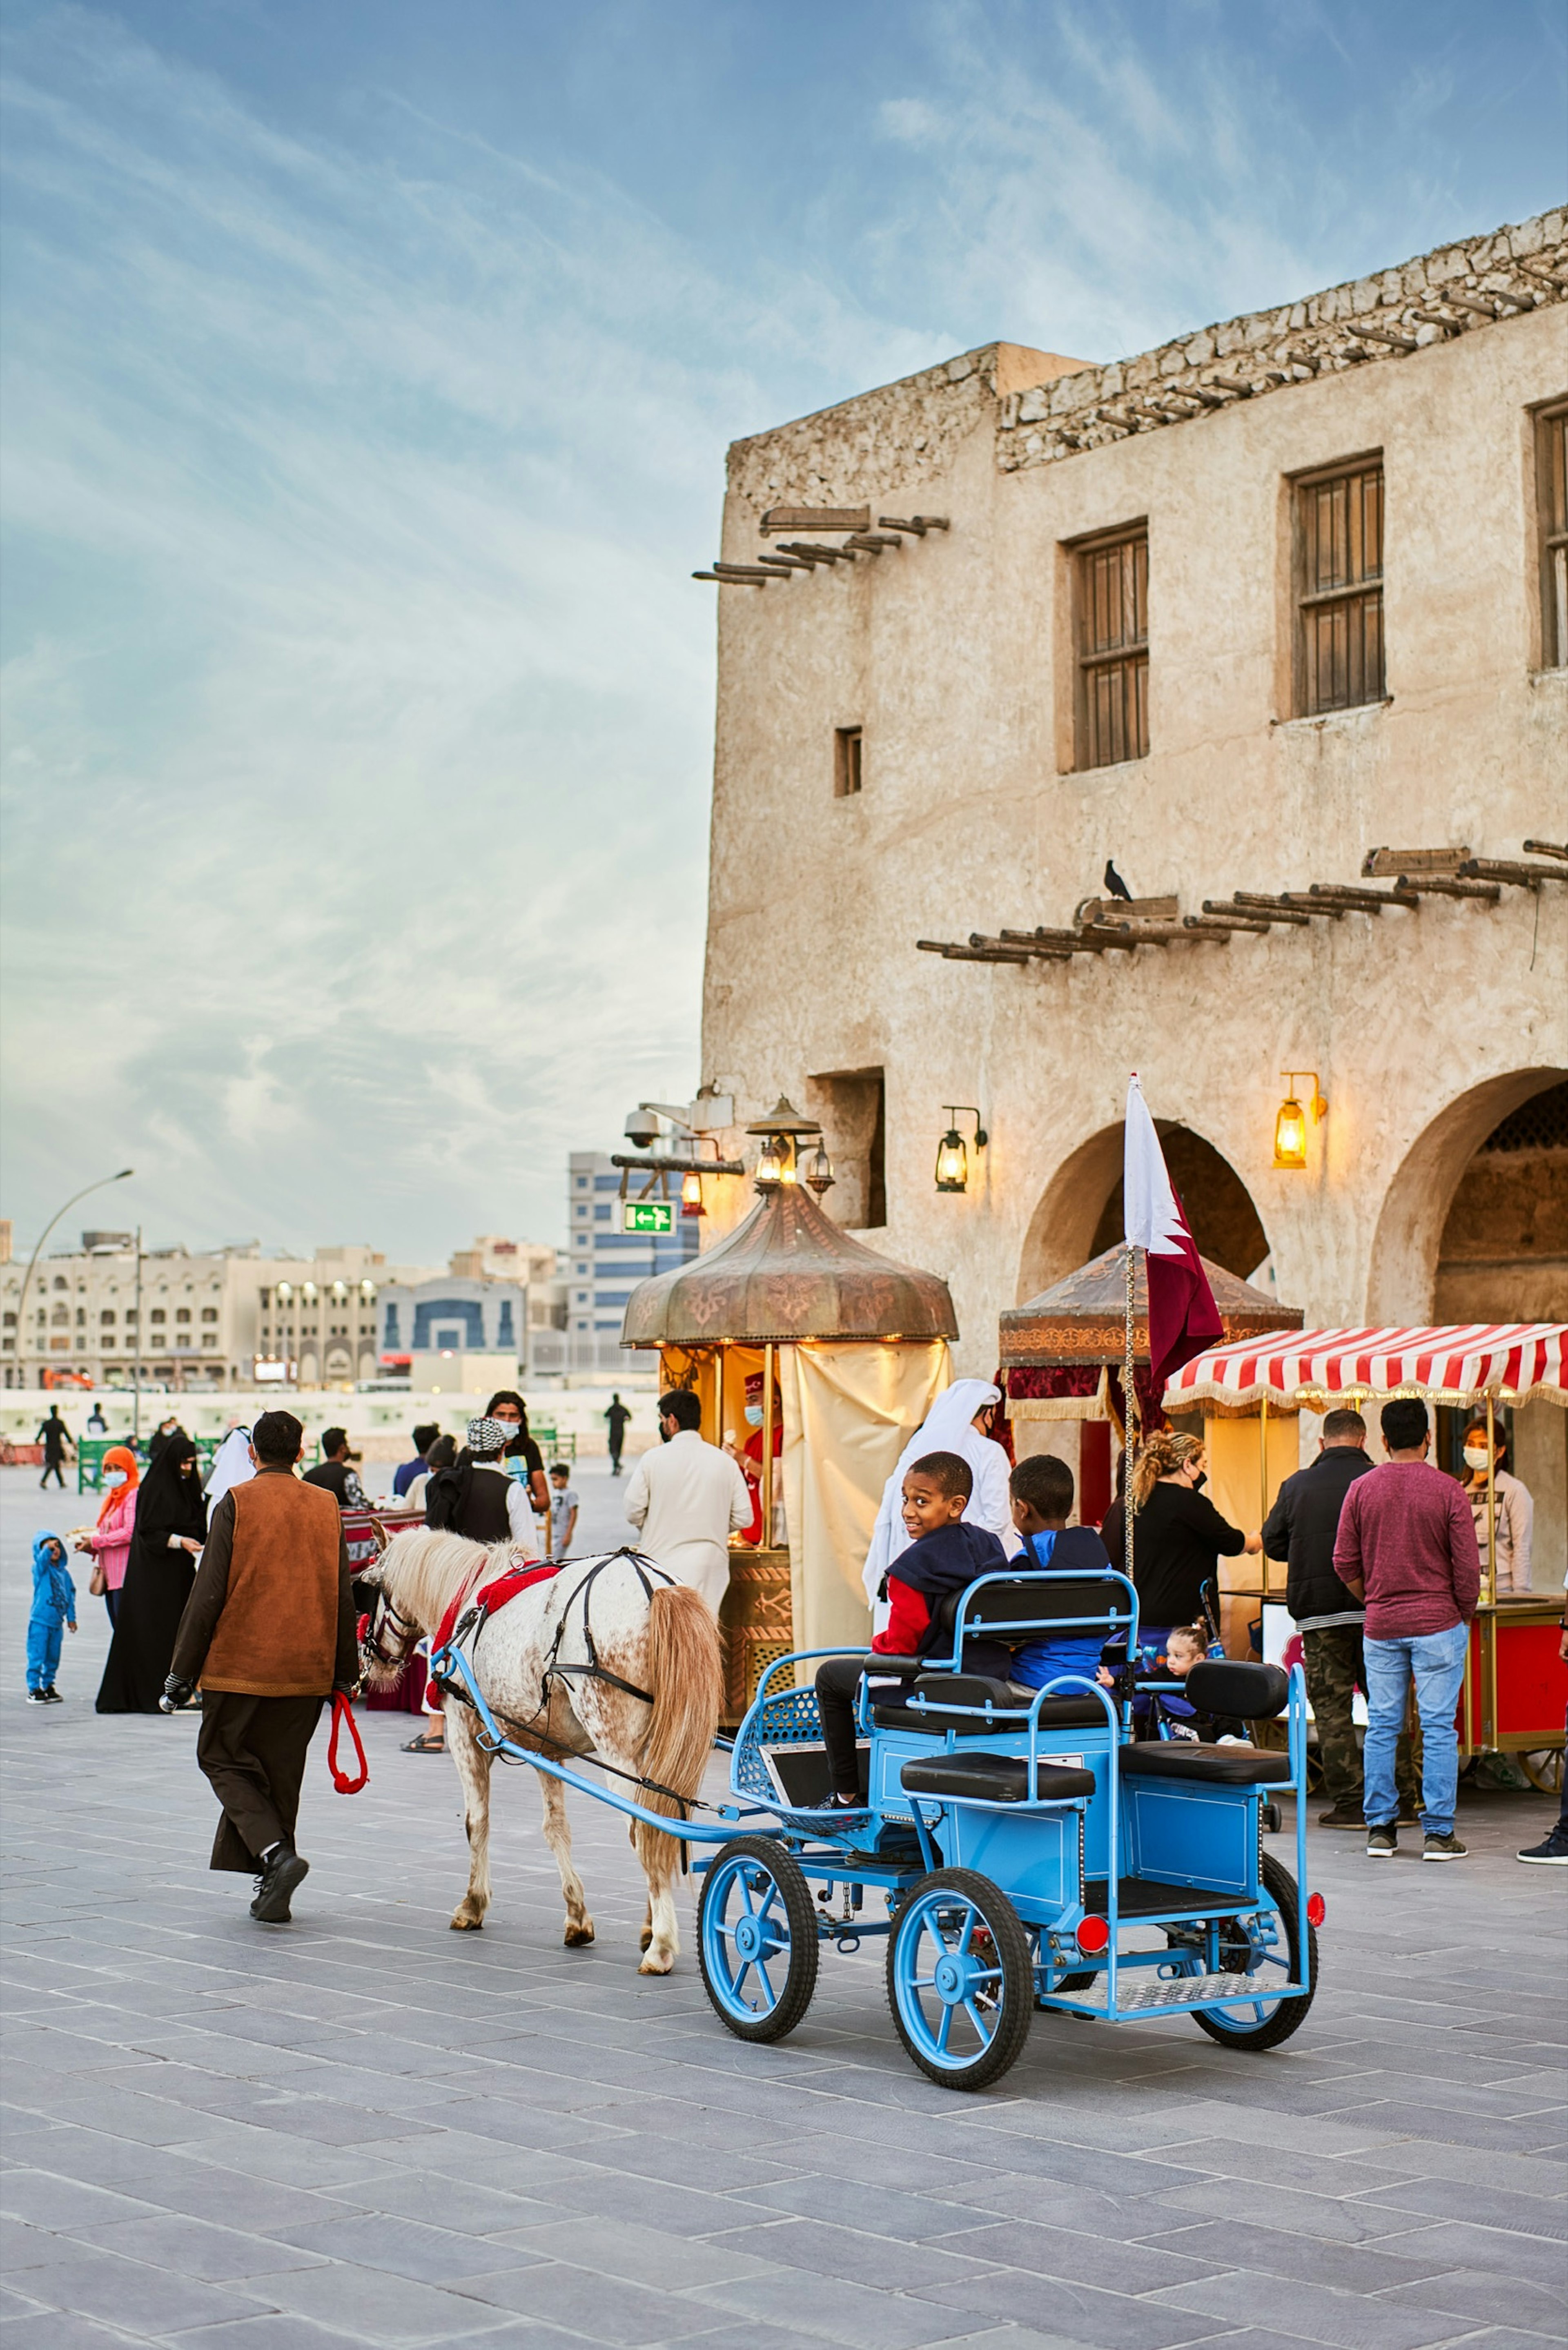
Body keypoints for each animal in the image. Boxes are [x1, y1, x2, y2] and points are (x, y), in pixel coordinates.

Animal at [364, 1532, 728, 1974]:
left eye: (371, 1588)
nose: (372, 1657)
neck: (466, 1601)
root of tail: (653, 1585)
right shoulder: (547, 1746)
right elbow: (557, 1828)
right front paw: (577, 1915)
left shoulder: (463, 1731)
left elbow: (476, 1822)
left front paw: (473, 1903)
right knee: (664, 1821)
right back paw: (652, 1929)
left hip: (616, 1747)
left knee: (645, 1826)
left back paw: (660, 1946)